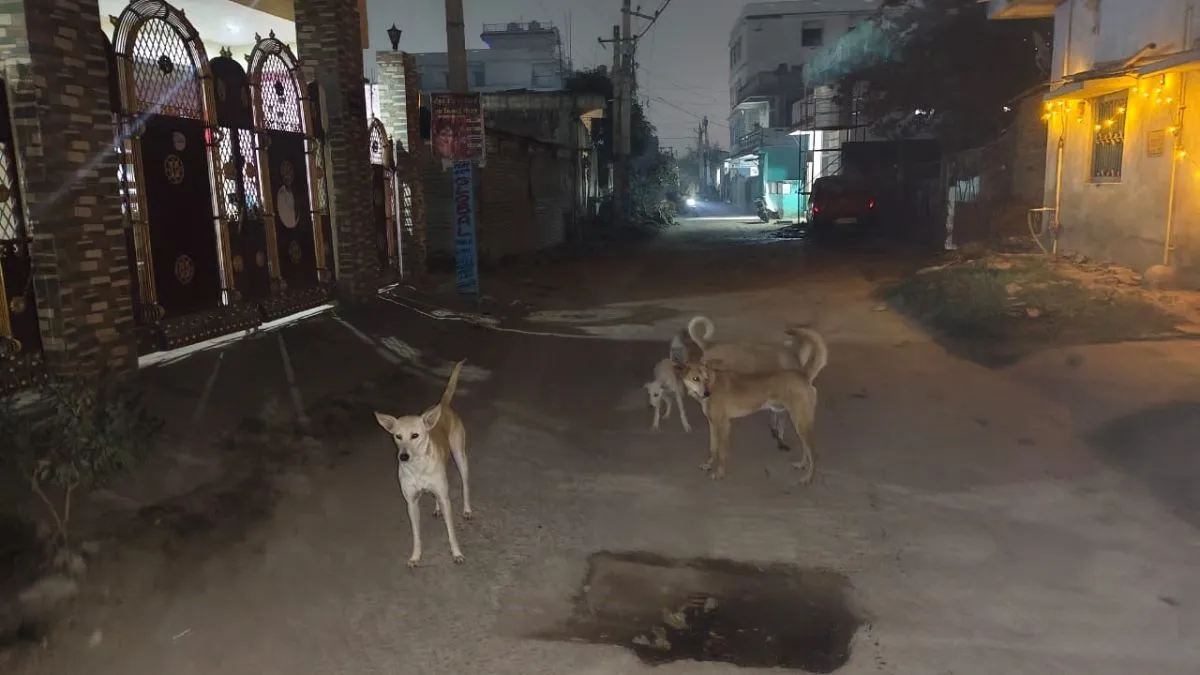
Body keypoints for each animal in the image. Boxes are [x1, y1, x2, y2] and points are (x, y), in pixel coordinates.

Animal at [374, 360, 471, 567]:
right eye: (397, 436)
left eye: (415, 435)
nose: (403, 456)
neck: (418, 468)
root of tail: (442, 405)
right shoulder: (411, 502)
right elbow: (416, 534)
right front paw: (415, 556)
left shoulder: (445, 498)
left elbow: (451, 532)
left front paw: (457, 553)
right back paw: (436, 509)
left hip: (460, 456)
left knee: (465, 484)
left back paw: (467, 509)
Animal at [681, 327, 828, 482]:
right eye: (695, 379)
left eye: (706, 378)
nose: (706, 393)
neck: (713, 383)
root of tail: (803, 374)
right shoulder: (712, 424)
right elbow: (712, 449)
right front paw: (708, 464)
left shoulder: (724, 425)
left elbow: (722, 453)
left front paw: (719, 473)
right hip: (799, 423)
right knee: (805, 448)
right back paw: (801, 464)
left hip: (801, 423)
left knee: (813, 453)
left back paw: (808, 478)